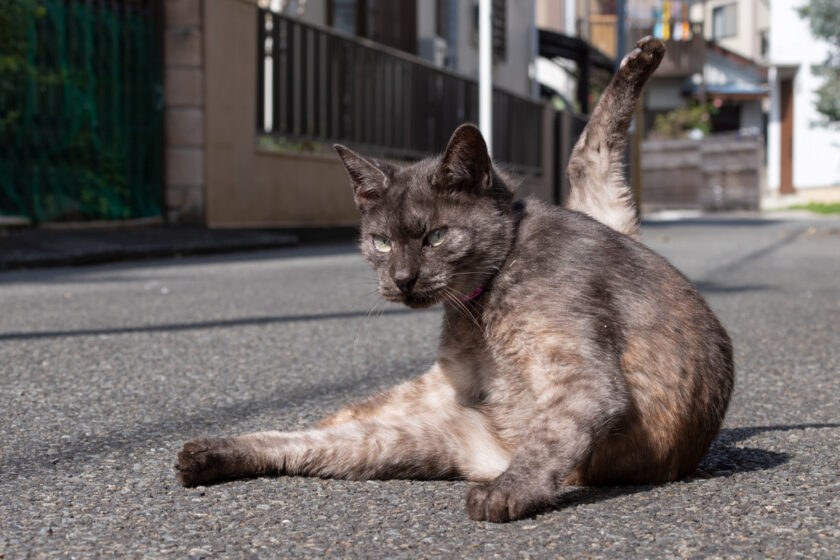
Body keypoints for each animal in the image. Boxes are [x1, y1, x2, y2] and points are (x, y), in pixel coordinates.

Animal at [174, 37, 732, 524]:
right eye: (381, 242)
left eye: (437, 236)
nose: (402, 279)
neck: (480, 304)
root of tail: (495, 448)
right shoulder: (445, 382)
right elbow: (337, 415)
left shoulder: (582, 380)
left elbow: (553, 436)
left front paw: (509, 493)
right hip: (396, 434)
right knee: (311, 439)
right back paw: (206, 454)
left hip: (413, 439)